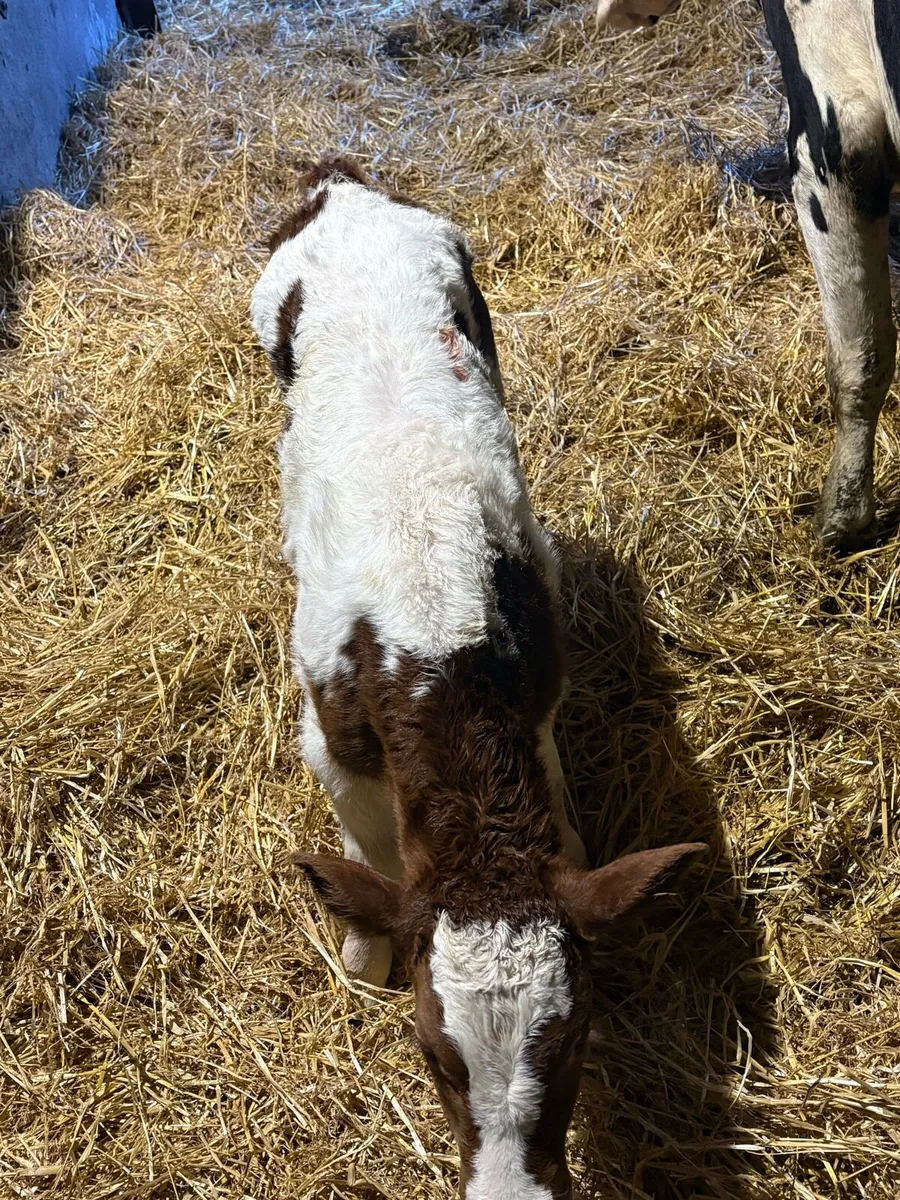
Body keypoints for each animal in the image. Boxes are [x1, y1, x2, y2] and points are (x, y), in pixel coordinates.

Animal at [251, 156, 705, 1198]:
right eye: (431, 1053)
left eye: (573, 1037)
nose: (513, 1190)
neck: (434, 646)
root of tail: (342, 185)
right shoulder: (329, 739)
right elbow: (371, 853)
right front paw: (365, 944)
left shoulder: (538, 681)